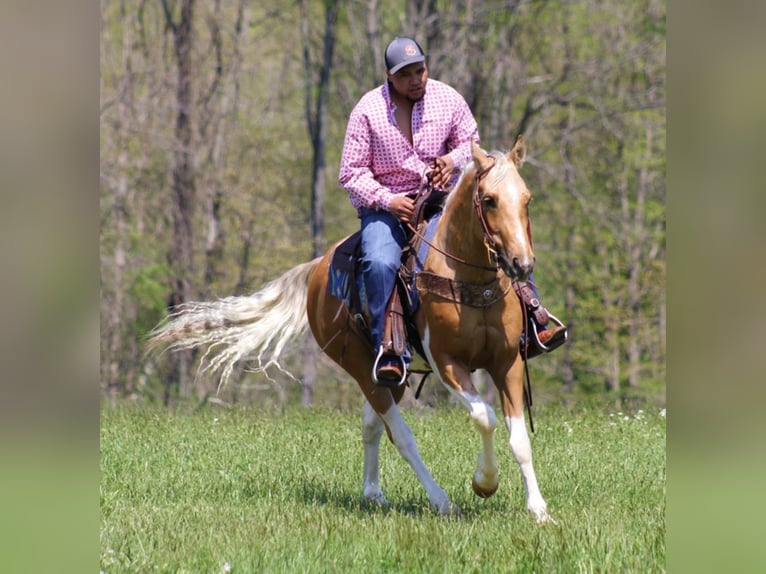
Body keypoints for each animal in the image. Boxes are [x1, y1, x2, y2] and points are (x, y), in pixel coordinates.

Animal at [150, 137, 556, 524]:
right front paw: (484, 482)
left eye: (527, 198)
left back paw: (373, 493)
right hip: (361, 367)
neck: (466, 278)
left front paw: (539, 510)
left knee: (372, 426)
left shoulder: (507, 362)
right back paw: (441, 502)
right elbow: (484, 417)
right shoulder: (448, 364)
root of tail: (318, 267)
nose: (521, 263)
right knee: (400, 435)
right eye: (489, 200)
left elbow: (519, 437)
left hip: (388, 373)